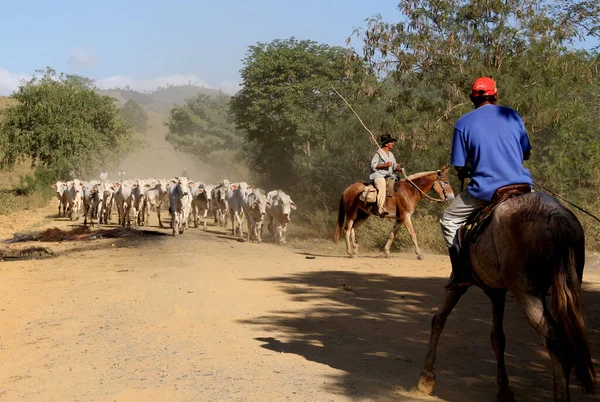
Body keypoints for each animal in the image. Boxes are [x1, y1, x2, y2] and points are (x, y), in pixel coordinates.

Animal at [418, 192, 596, 402]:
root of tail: (555, 215)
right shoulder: (497, 292)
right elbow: (497, 337)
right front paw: (504, 389)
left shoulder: (461, 282)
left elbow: (439, 319)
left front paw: (426, 377)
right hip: (568, 287)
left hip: (524, 290)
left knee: (556, 342)